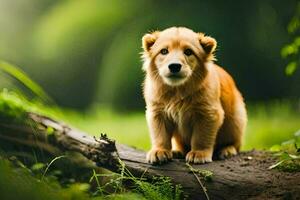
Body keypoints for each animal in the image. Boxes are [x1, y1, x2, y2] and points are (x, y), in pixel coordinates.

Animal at [142, 26, 247, 164]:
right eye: (164, 51)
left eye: (188, 52)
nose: (174, 66)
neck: (177, 90)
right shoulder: (157, 112)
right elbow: (160, 135)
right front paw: (159, 151)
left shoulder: (208, 113)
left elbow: (201, 136)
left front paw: (199, 153)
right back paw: (177, 151)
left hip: (235, 121)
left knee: (235, 144)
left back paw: (227, 150)